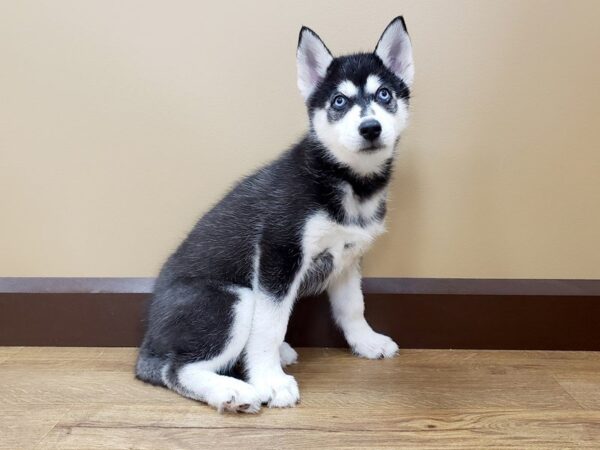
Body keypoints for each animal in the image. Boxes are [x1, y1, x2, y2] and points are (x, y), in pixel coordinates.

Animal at [137, 16, 414, 412]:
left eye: (384, 95)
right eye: (339, 101)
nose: (370, 128)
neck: (345, 180)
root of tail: (149, 338)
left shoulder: (348, 257)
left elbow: (353, 307)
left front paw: (366, 341)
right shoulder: (278, 254)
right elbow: (269, 326)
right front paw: (269, 381)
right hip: (235, 299)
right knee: (171, 369)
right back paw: (231, 391)